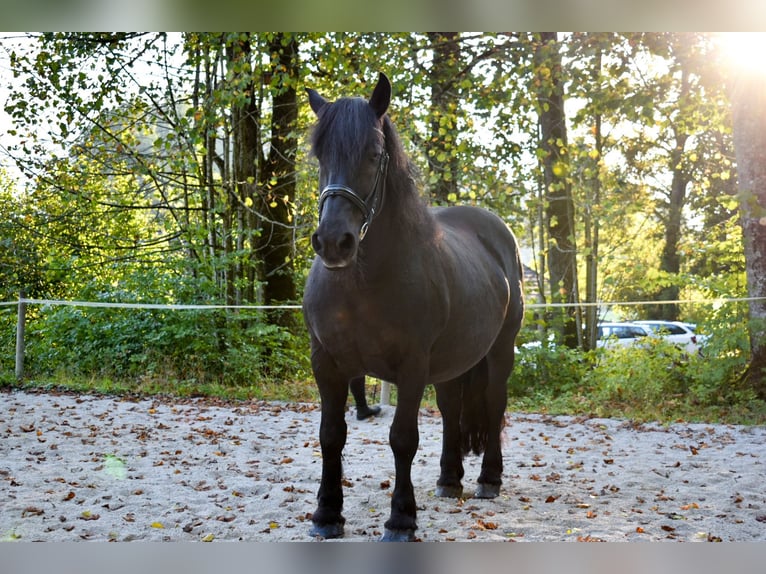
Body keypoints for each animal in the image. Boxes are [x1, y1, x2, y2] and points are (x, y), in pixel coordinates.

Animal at [304, 73, 524, 544]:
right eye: (319, 155)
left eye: (373, 154)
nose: (333, 242)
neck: (362, 282)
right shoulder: (326, 362)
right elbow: (331, 435)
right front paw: (327, 514)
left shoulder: (411, 366)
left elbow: (403, 438)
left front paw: (401, 519)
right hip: (454, 360)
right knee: (452, 408)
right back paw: (449, 479)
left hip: (500, 352)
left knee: (493, 404)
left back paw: (488, 480)